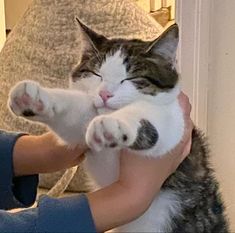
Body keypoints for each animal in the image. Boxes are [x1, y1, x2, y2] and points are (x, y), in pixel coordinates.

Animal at [8, 19, 229, 232]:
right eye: (96, 74)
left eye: (131, 78)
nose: (105, 94)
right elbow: (74, 115)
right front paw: (38, 98)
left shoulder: (176, 121)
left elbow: (156, 124)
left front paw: (115, 124)